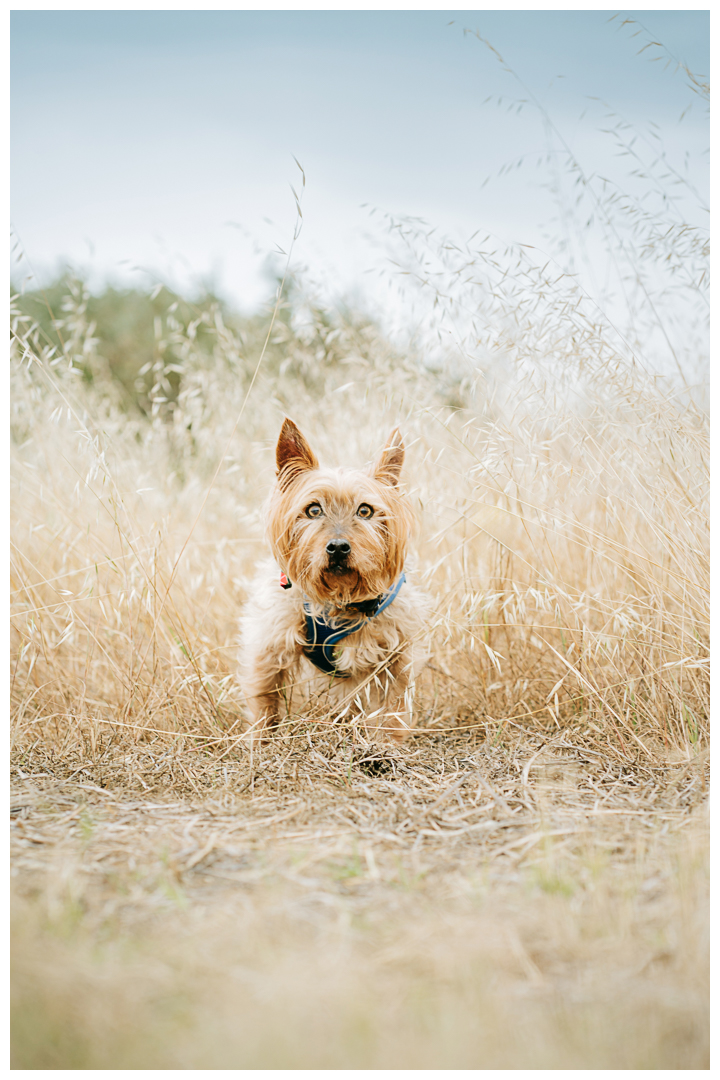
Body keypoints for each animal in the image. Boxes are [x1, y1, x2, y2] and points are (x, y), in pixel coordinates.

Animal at [239, 416, 431, 747]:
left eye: (365, 510)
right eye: (314, 510)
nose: (339, 547)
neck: (339, 598)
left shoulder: (397, 655)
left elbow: (393, 706)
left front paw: (388, 746)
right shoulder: (270, 646)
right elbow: (265, 700)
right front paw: (261, 743)